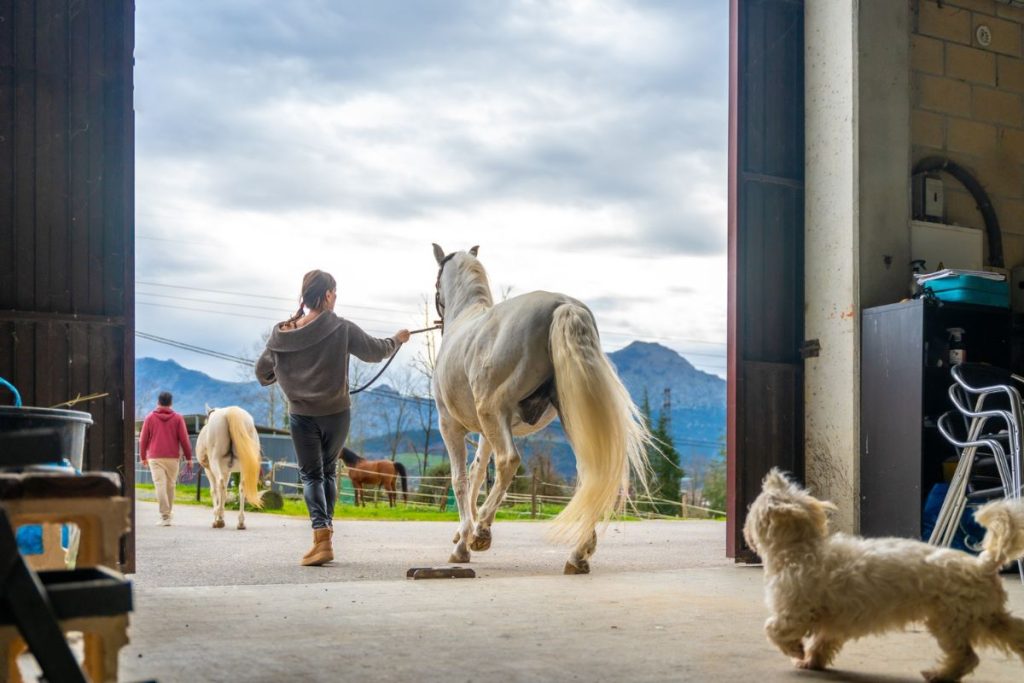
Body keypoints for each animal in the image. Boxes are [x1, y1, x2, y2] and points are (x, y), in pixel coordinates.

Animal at [430, 242, 651, 573]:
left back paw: (482, 531)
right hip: (567, 419)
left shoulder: (451, 425)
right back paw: (579, 553)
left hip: (494, 411)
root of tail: (563, 304)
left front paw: (463, 544)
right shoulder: (485, 431)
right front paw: (461, 535)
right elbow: (477, 471)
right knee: (590, 473)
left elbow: (460, 478)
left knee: (509, 460)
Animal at [745, 471, 1024, 683]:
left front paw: (795, 649)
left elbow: (773, 629)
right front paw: (812, 661)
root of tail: (983, 564)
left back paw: (938, 674)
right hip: (987, 617)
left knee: (966, 657)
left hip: (949, 621)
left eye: (753, 508)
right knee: (1012, 636)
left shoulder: (794, 612)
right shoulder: (832, 624)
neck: (800, 549)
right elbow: (822, 643)